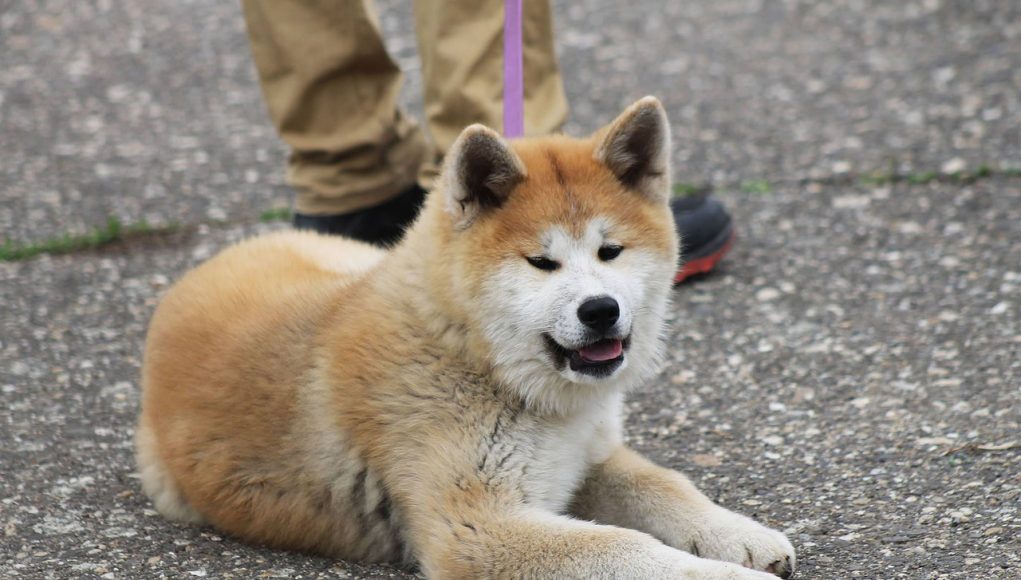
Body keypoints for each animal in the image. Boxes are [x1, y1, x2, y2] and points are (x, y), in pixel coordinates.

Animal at [139, 97, 796, 575]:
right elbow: (623, 545)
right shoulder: (478, 528)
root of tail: (198, 271)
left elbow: (665, 485)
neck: (476, 359)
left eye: (611, 251)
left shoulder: (589, 457)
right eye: (541, 263)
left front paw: (739, 534)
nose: (601, 310)